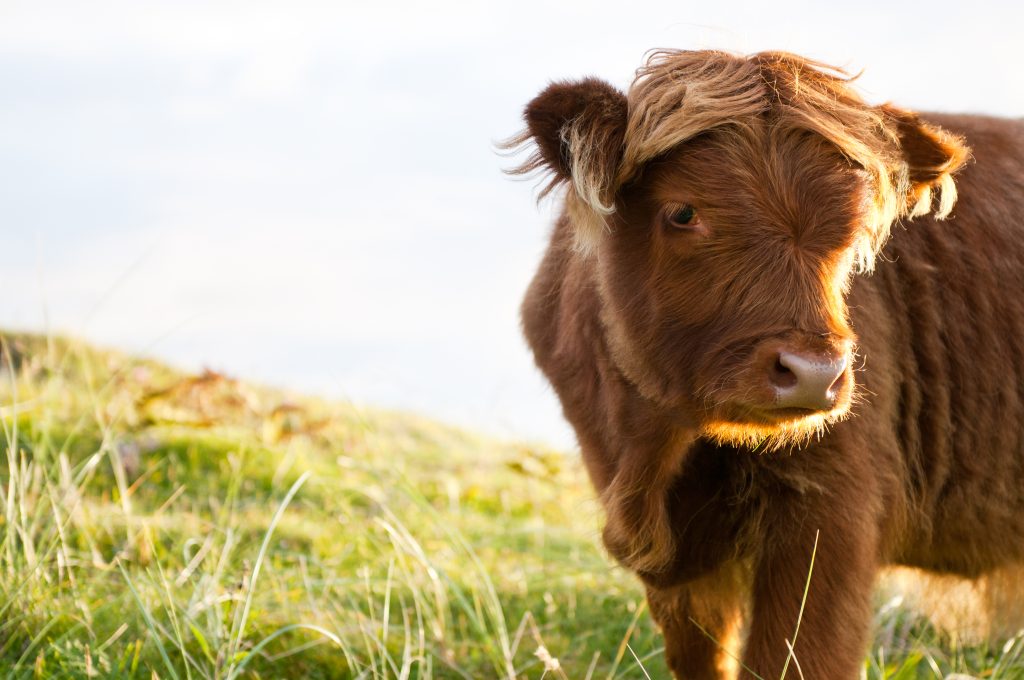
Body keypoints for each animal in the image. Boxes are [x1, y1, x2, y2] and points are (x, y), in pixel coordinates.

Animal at [505, 49, 1024, 680]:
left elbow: (794, 654)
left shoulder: (833, 515)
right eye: (683, 212)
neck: (653, 446)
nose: (814, 373)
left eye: (853, 227)